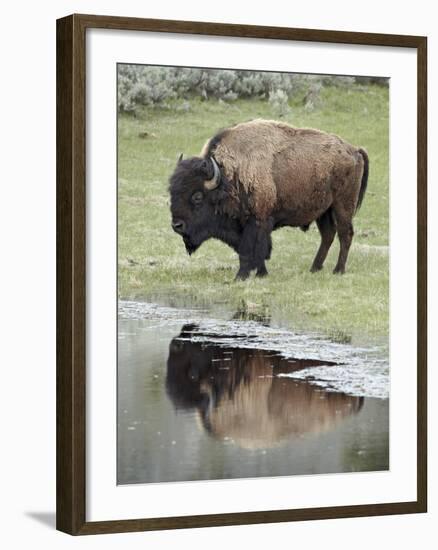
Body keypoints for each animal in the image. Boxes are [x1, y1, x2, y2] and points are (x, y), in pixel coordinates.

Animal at [169, 118, 368, 278]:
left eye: (197, 196)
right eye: (172, 192)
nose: (177, 225)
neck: (227, 178)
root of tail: (354, 150)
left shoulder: (257, 220)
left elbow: (250, 250)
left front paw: (241, 276)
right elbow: (259, 251)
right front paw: (261, 273)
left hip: (342, 205)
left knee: (345, 234)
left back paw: (338, 270)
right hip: (323, 211)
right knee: (328, 235)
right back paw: (314, 268)